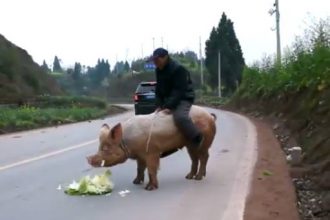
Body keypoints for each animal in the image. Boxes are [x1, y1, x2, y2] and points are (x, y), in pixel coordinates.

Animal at [87, 105, 217, 190]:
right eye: (100, 146)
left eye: (106, 148)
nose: (88, 159)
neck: (126, 141)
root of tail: (210, 116)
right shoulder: (140, 155)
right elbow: (140, 168)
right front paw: (135, 182)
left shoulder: (151, 152)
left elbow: (151, 169)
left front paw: (149, 188)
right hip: (190, 144)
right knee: (195, 158)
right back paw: (189, 177)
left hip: (204, 141)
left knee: (204, 156)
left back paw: (198, 178)